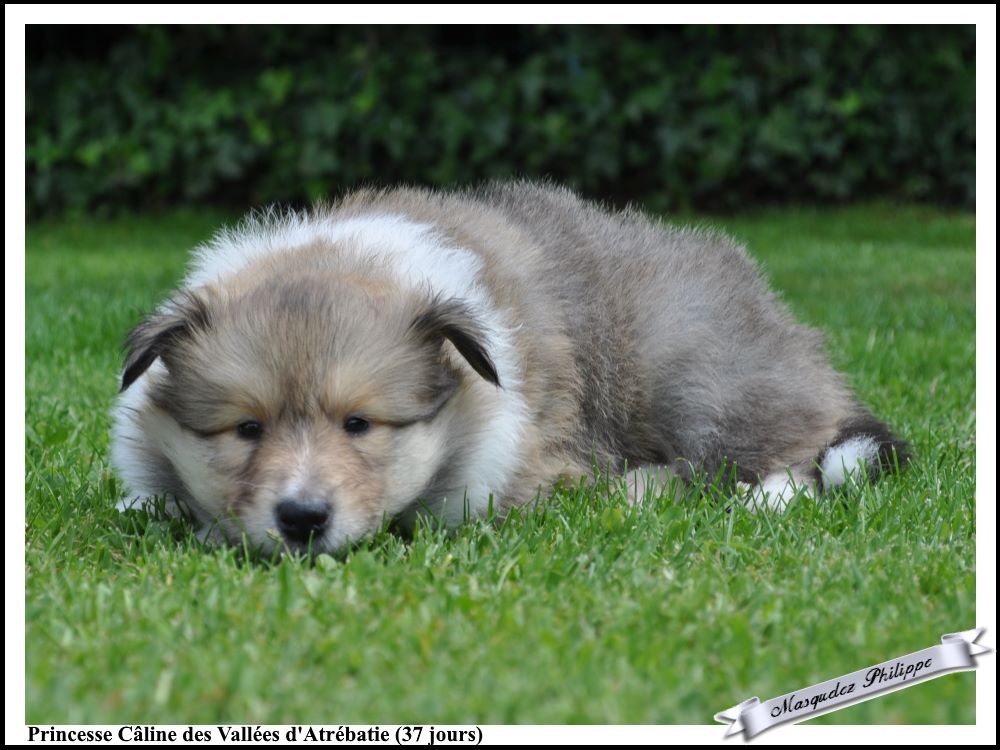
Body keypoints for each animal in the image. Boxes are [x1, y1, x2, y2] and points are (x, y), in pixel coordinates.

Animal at [111, 181, 908, 554]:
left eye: (359, 424)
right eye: (245, 429)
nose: (302, 519)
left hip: (693, 364)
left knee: (783, 451)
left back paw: (738, 497)